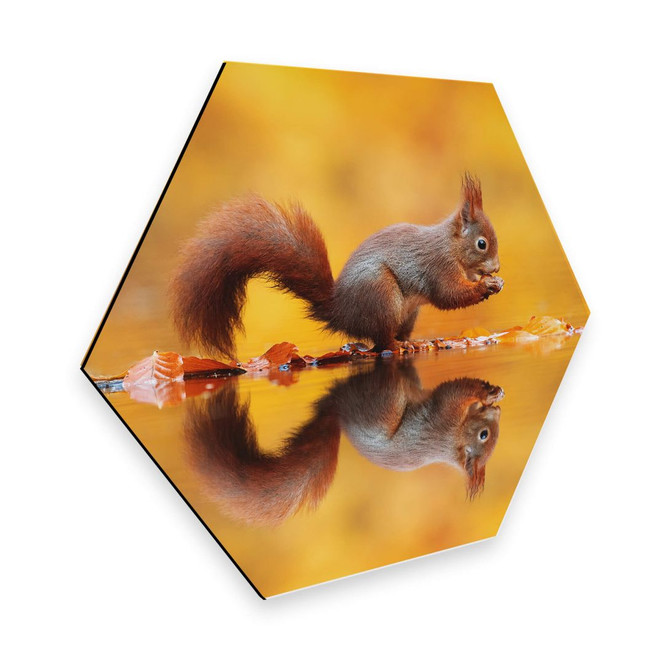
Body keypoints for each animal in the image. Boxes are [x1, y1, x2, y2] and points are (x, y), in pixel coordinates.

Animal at [170, 174, 503, 356]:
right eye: (481, 243)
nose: (497, 269)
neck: (450, 245)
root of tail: (340, 310)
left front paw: (492, 282)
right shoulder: (438, 265)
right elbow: (449, 295)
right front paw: (485, 286)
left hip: (408, 313)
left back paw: (413, 343)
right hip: (381, 295)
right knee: (380, 341)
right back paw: (398, 347)